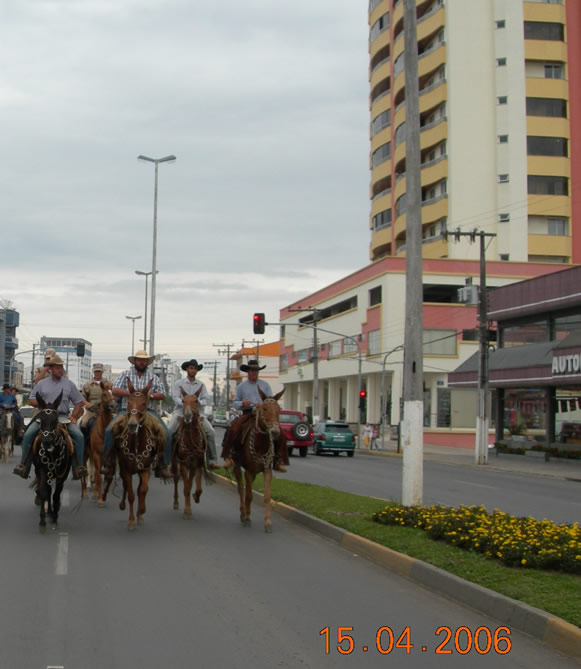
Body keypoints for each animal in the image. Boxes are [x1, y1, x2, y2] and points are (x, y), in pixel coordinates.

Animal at [31, 391, 72, 533]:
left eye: (55, 420)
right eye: (41, 419)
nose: (47, 442)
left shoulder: (63, 474)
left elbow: (56, 495)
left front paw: (54, 518)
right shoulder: (42, 470)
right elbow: (45, 492)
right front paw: (42, 521)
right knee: (47, 490)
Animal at [112, 380, 165, 530]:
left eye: (143, 403)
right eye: (129, 402)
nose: (132, 425)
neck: (136, 444)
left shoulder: (145, 469)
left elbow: (143, 489)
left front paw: (141, 511)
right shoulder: (126, 470)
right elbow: (131, 494)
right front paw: (131, 521)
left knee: (141, 489)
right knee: (126, 486)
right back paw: (122, 505)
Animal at [172, 387, 208, 519]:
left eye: (196, 401)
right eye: (183, 401)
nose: (187, 415)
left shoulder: (198, 464)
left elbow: (198, 488)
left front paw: (196, 497)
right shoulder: (183, 464)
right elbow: (186, 488)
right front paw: (187, 510)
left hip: (191, 467)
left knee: (190, 481)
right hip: (175, 463)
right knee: (176, 479)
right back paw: (176, 502)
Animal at [233, 387, 285, 533]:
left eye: (279, 410)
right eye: (265, 409)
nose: (275, 432)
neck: (260, 444)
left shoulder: (267, 470)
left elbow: (267, 497)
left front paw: (267, 523)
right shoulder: (248, 471)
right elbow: (249, 495)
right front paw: (247, 518)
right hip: (237, 465)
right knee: (241, 487)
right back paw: (243, 512)